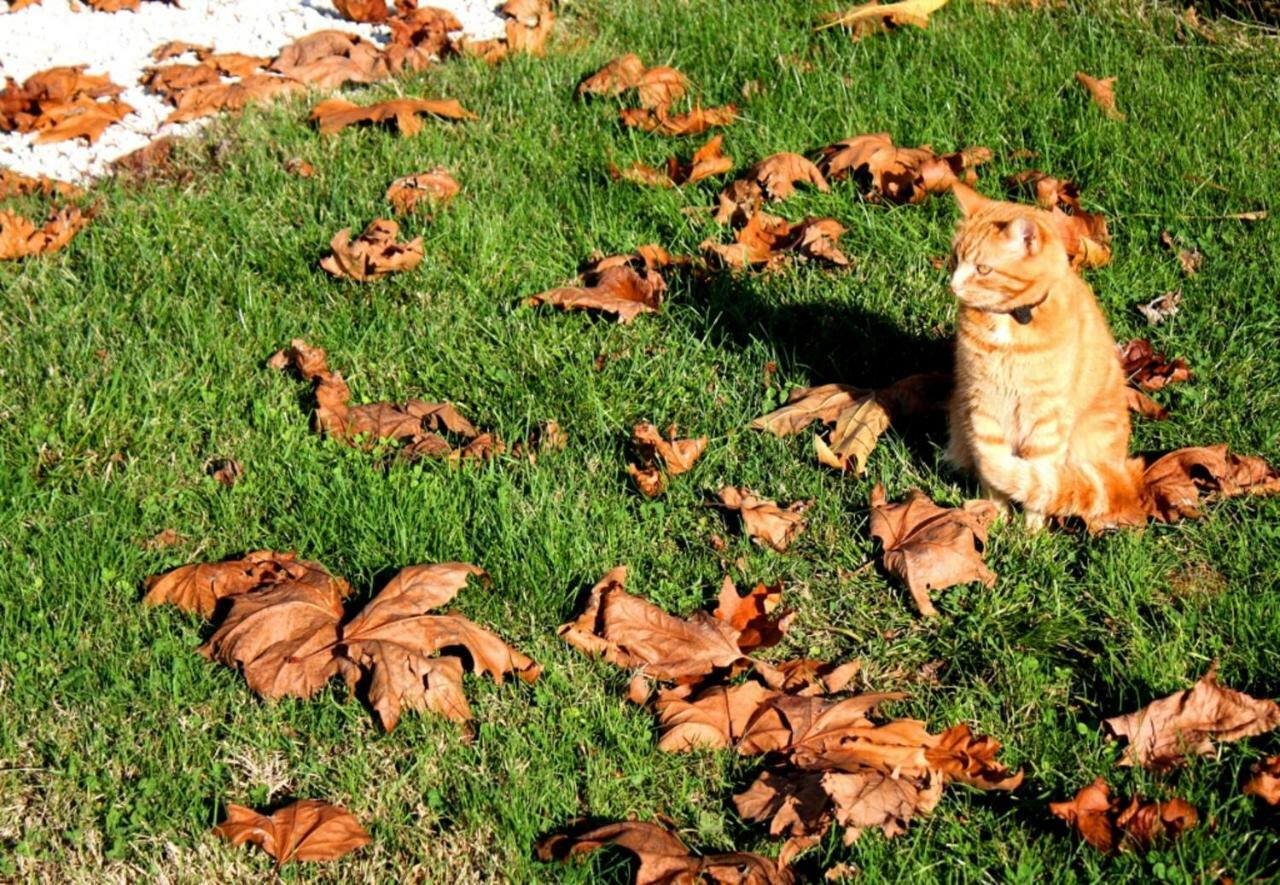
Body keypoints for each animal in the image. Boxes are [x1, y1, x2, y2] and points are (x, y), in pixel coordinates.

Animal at [947, 179, 1146, 525]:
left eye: (983, 269)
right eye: (955, 259)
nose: (953, 285)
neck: (1011, 321)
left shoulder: (1045, 418)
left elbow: (1037, 482)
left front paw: (1031, 531)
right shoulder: (983, 405)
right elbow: (993, 474)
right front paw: (997, 519)